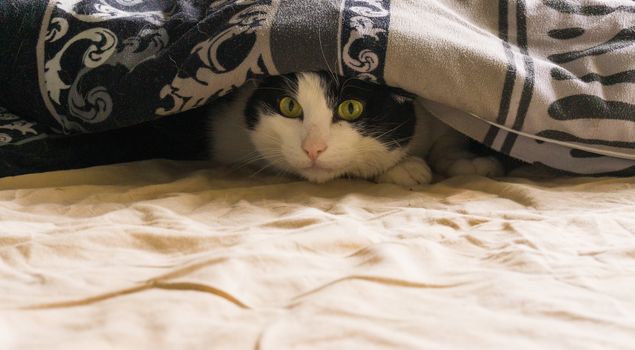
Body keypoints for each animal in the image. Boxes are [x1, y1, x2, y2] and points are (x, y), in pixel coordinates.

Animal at [206, 71, 504, 186]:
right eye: (289, 106)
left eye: (351, 108)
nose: (312, 149)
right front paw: (404, 167)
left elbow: (448, 139)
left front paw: (468, 161)